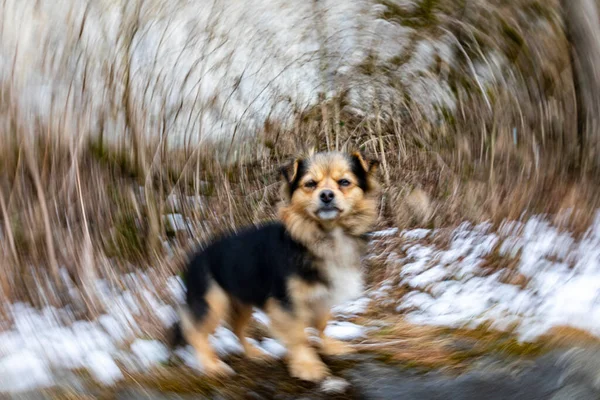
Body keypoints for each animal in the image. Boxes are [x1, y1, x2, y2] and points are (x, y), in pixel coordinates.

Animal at [176, 150, 380, 382]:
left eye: (344, 182)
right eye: (310, 184)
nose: (326, 195)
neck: (325, 236)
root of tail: (193, 256)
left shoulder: (321, 297)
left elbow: (321, 325)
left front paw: (329, 346)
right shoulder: (287, 302)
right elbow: (299, 335)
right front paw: (307, 365)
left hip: (241, 301)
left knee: (237, 329)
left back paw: (253, 353)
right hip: (214, 301)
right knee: (195, 333)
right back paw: (212, 366)